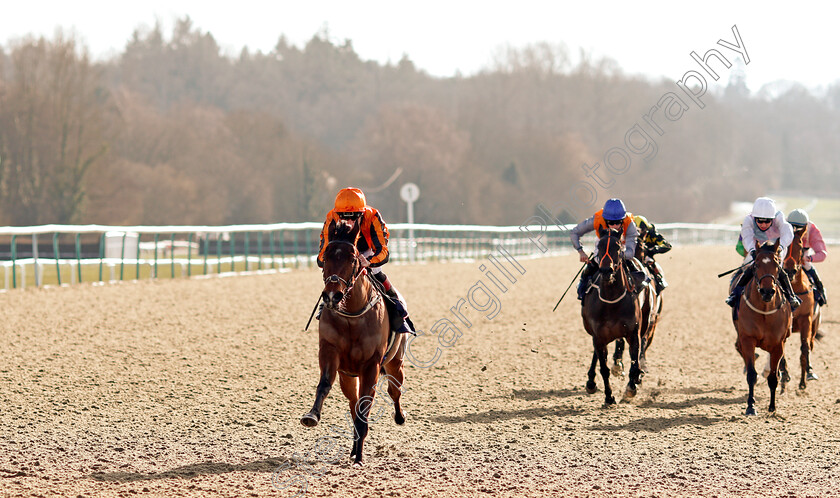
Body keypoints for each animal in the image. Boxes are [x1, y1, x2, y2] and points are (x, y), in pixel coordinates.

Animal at [302, 222, 406, 466]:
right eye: (326, 256)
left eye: (351, 258)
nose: (332, 296)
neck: (352, 315)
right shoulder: (330, 352)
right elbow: (324, 385)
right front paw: (312, 415)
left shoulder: (372, 365)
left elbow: (365, 406)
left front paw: (359, 456)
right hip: (348, 376)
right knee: (353, 403)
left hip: (395, 363)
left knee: (394, 390)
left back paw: (399, 417)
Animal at [580, 228, 648, 406]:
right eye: (599, 246)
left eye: (617, 247)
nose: (606, 271)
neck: (611, 300)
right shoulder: (598, 336)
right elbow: (604, 368)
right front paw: (609, 397)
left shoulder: (633, 333)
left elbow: (634, 363)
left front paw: (632, 387)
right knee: (597, 356)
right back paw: (591, 382)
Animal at [732, 241, 792, 416]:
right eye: (756, 265)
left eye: (777, 265)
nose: (767, 291)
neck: (765, 311)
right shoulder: (747, 339)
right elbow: (752, 374)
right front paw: (751, 406)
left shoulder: (778, 344)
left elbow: (773, 377)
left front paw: (772, 407)